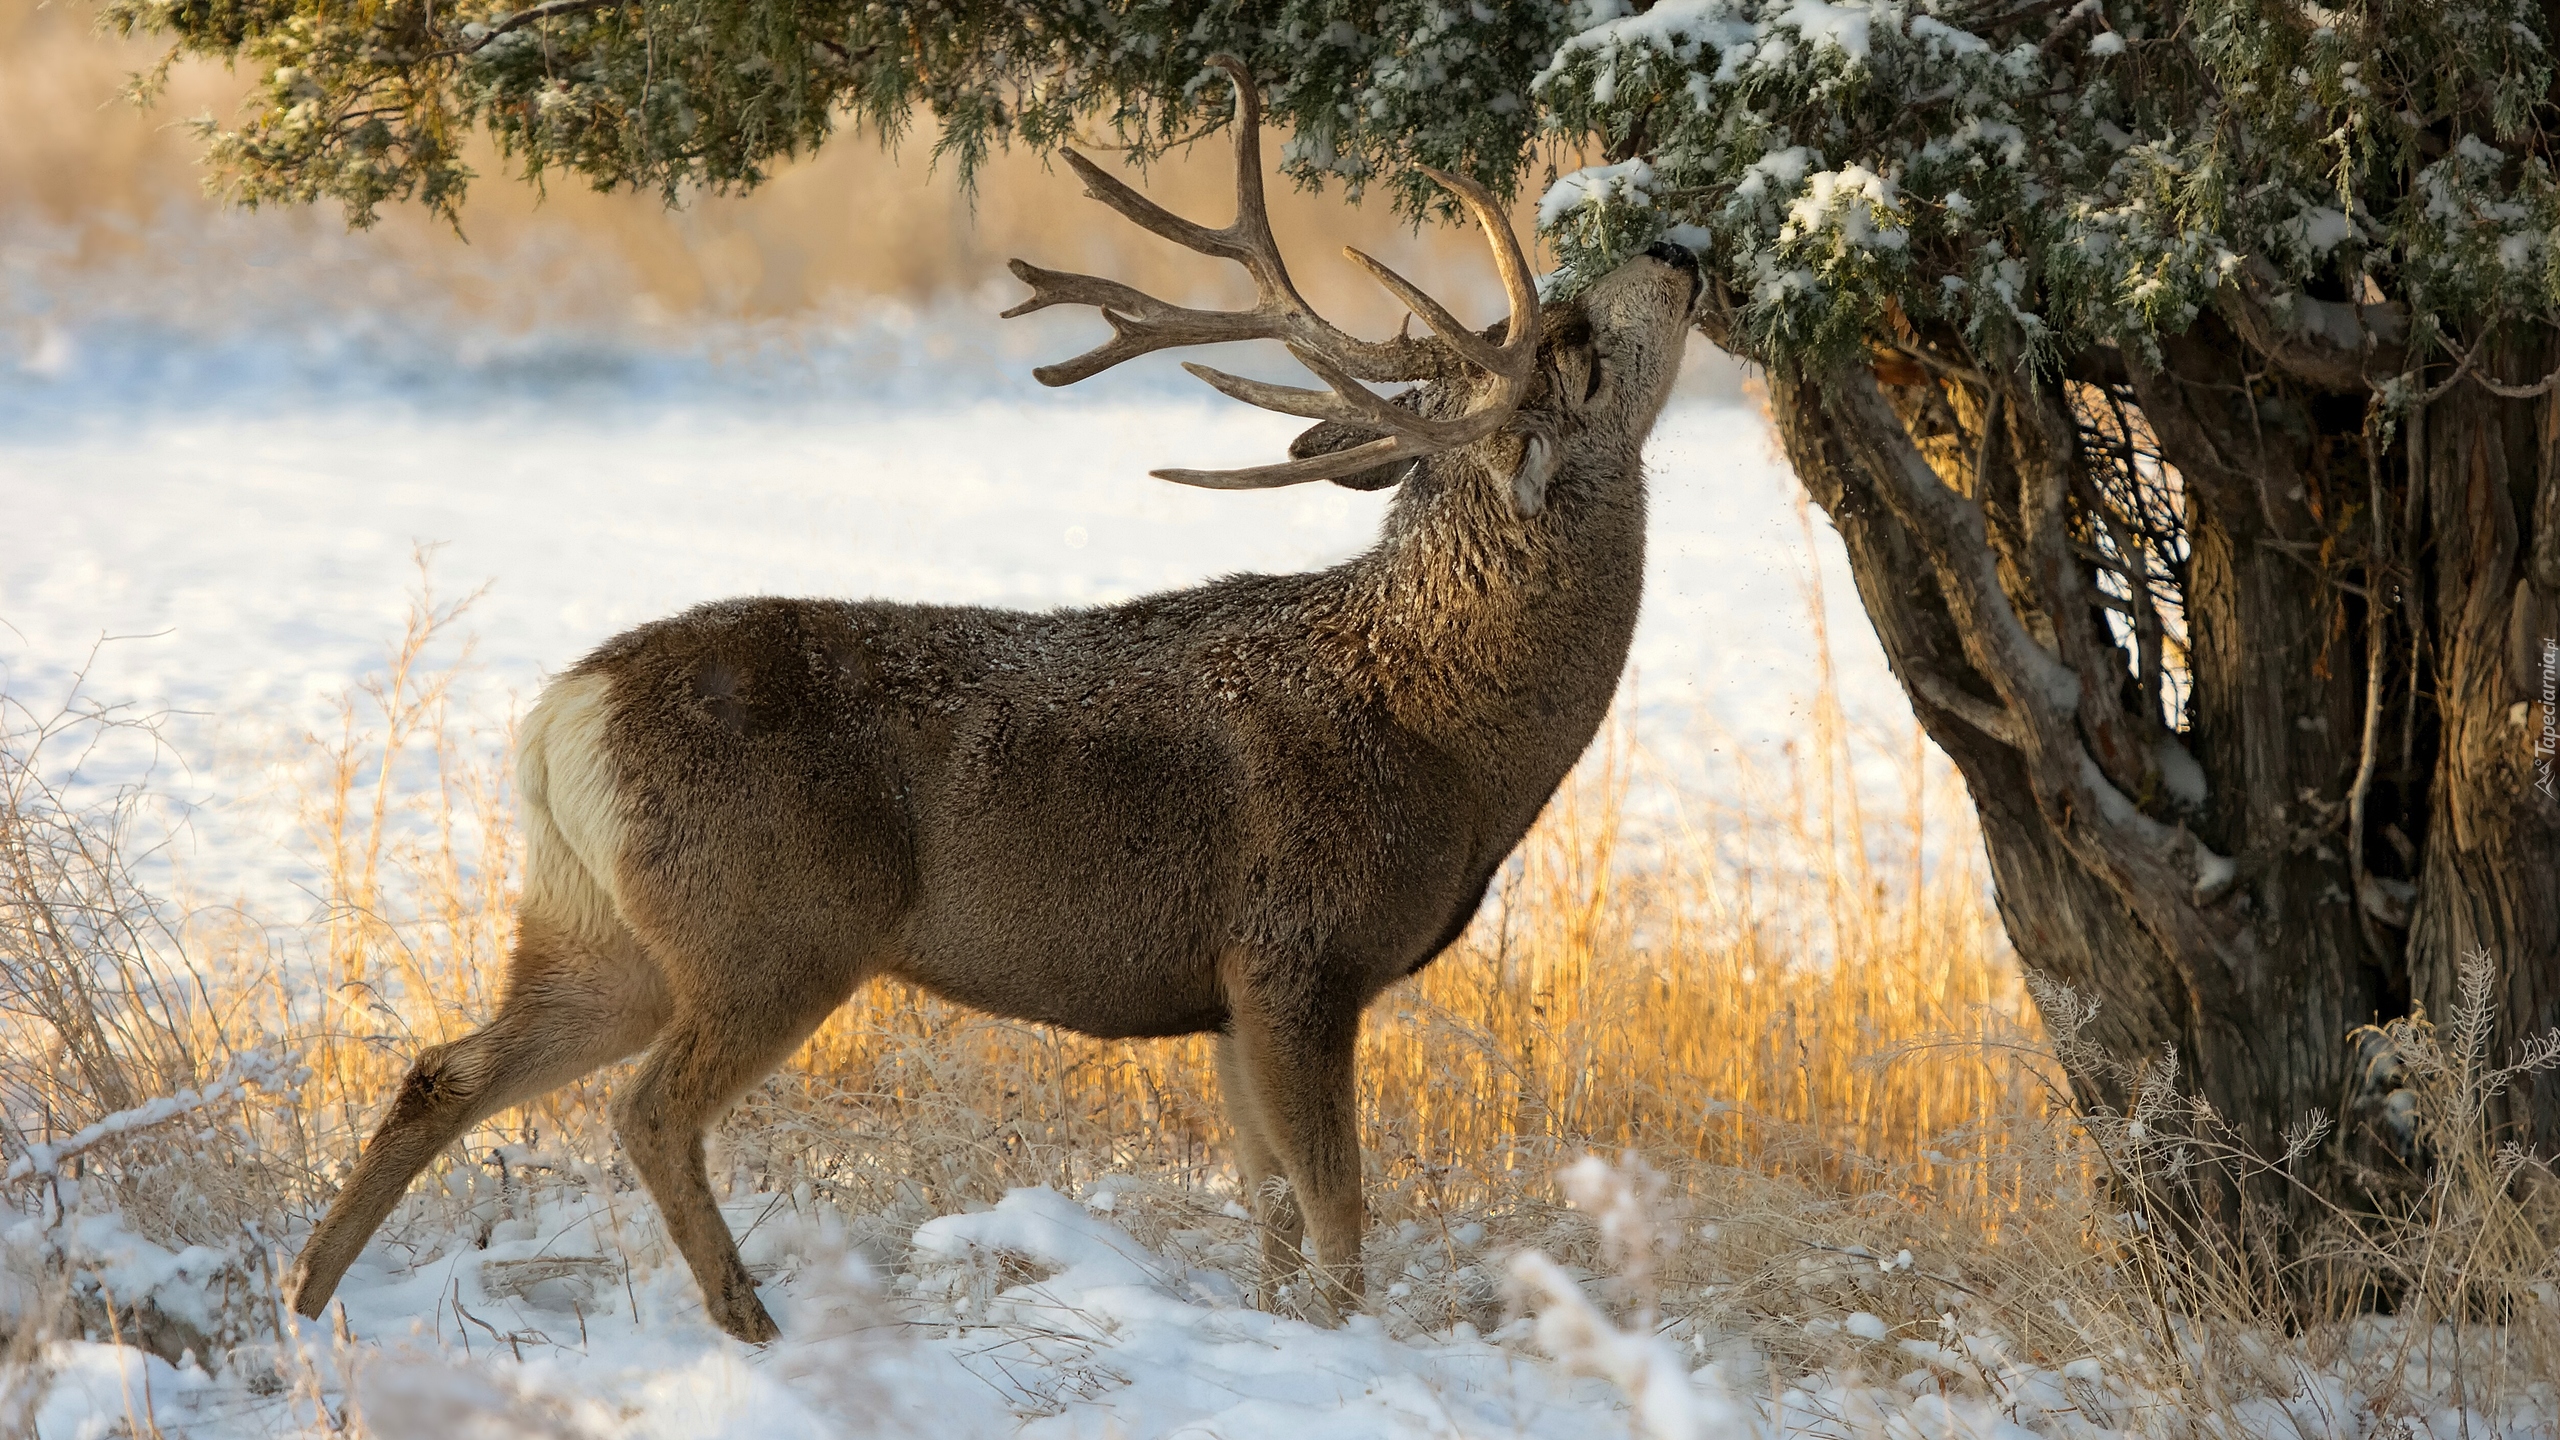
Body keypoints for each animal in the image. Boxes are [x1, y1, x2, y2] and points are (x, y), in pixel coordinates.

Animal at [285, 56, 1699, 1332]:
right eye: (1572, 348)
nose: (1677, 246)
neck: (1444, 733)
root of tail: (561, 716)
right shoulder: (1298, 950)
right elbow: (1339, 1208)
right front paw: (1350, 1350)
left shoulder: (1228, 992)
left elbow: (1272, 1212)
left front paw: (1278, 1328)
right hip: (775, 925)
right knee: (644, 1106)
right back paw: (748, 1321)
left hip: (598, 928)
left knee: (445, 1070)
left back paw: (308, 1305)